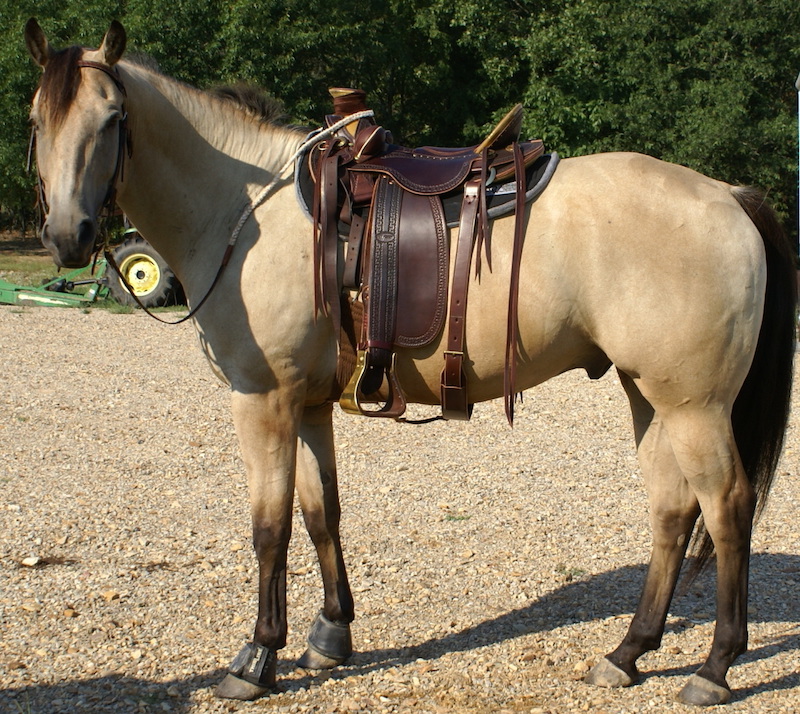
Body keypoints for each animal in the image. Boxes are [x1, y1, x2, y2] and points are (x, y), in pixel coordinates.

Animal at [23, 18, 792, 708]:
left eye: (113, 117)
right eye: (37, 120)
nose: (68, 235)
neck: (245, 218)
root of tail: (728, 195)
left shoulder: (262, 400)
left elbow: (269, 528)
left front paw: (256, 657)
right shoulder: (307, 403)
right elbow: (321, 512)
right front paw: (330, 635)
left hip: (694, 406)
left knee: (726, 509)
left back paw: (715, 668)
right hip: (649, 396)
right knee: (673, 510)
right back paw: (628, 653)